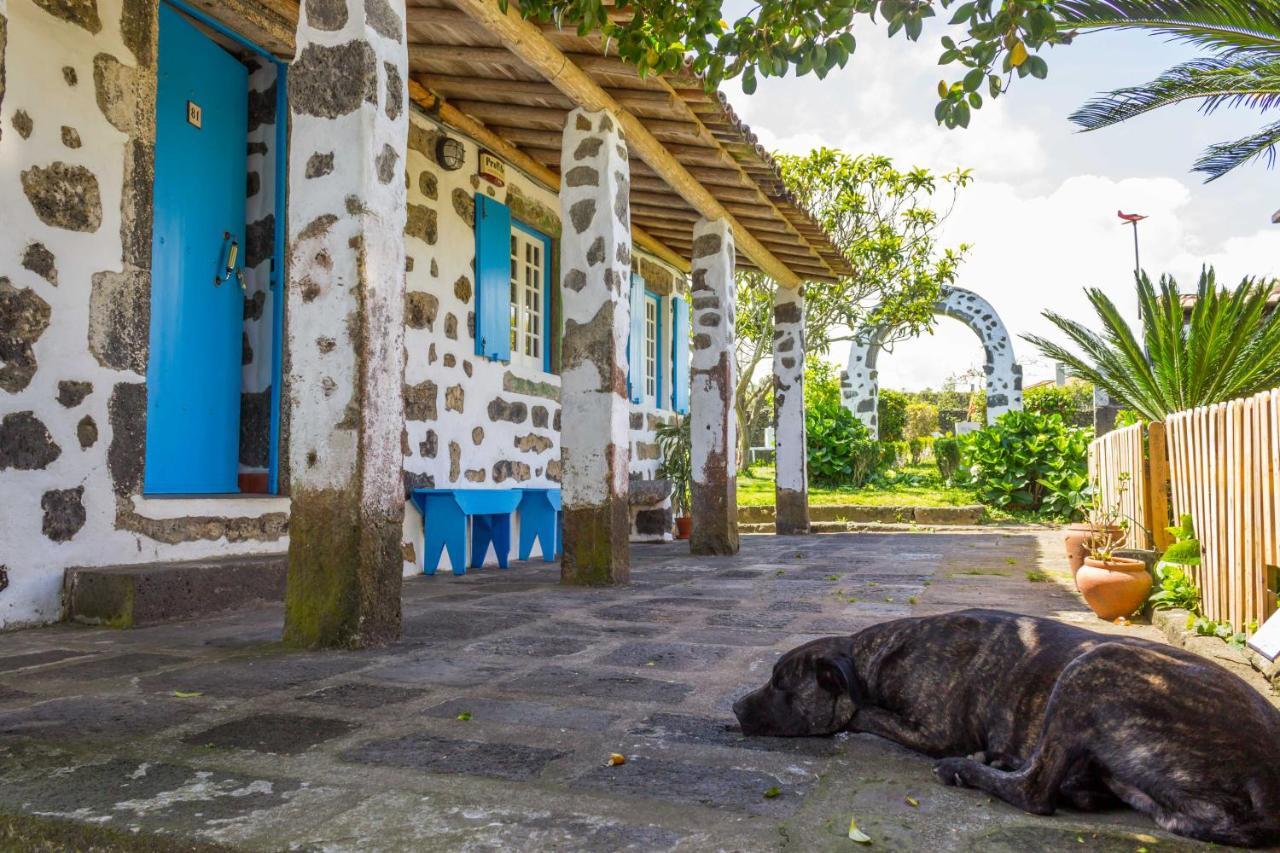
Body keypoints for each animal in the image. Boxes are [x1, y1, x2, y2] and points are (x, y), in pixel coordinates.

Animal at [737, 604, 1280, 845]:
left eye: (781, 683)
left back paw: (969, 770)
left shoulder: (935, 732)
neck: (877, 658)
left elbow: (864, 713)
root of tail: (1266, 779)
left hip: (1093, 664)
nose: (737, 708)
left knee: (1034, 793)